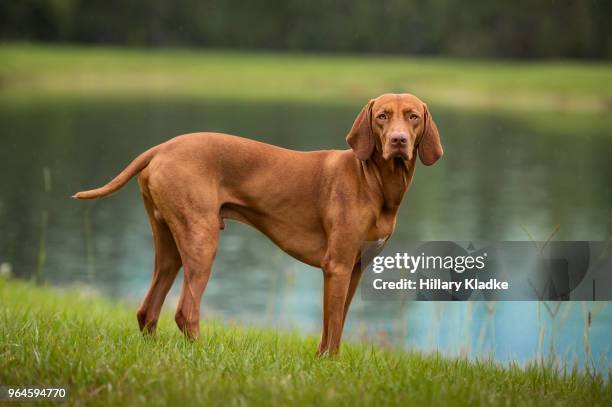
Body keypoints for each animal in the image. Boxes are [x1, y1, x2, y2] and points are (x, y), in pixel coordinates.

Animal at [74, 94, 442, 356]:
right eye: (382, 116)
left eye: (413, 116)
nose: (398, 141)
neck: (375, 182)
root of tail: (162, 147)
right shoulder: (336, 266)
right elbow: (333, 323)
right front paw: (328, 364)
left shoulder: (354, 269)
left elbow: (334, 327)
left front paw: (325, 361)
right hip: (202, 240)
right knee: (185, 310)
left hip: (170, 247)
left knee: (147, 309)